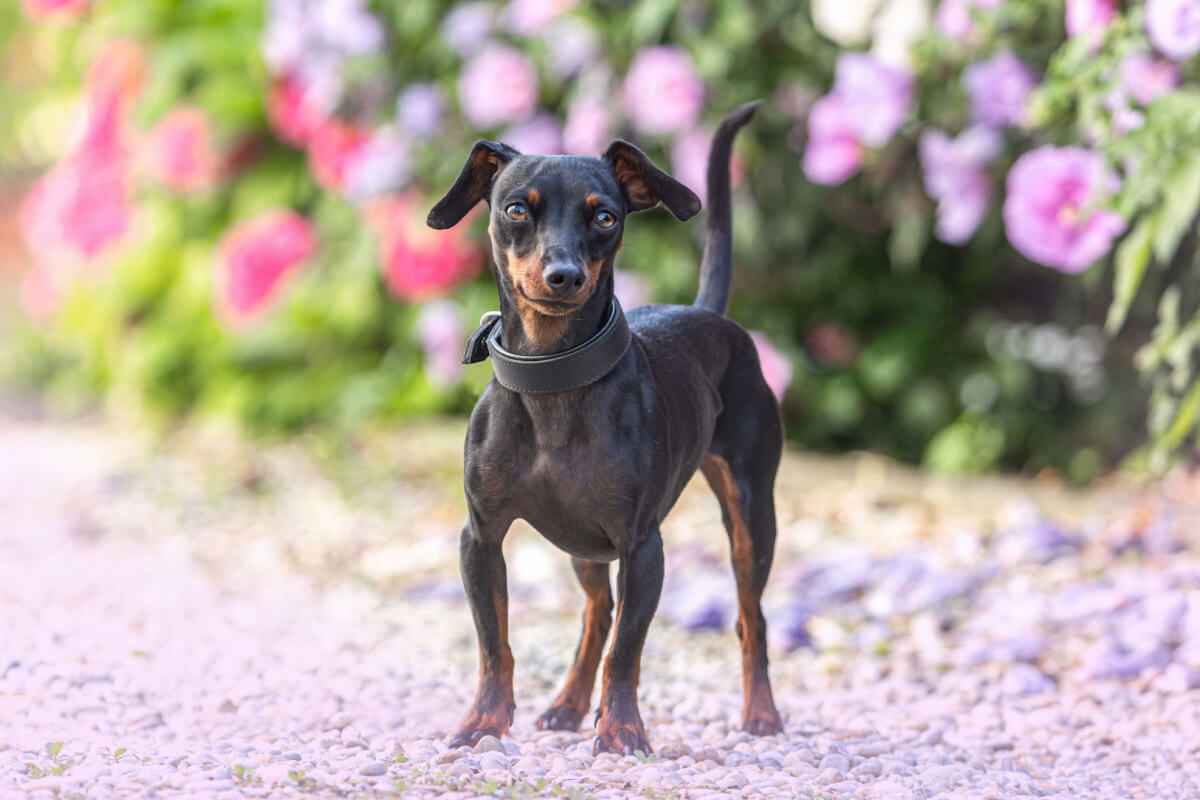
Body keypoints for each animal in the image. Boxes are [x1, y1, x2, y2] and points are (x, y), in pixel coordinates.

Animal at [427, 103, 782, 753]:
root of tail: (708, 314)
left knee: (750, 616)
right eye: (516, 209)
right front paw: (483, 722)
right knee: (598, 611)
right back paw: (568, 704)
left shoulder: (642, 547)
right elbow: (494, 644)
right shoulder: (480, 539)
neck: (553, 380)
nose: (564, 274)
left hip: (751, 513)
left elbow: (627, 651)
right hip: (582, 545)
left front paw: (621, 731)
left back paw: (762, 713)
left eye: (605, 216)